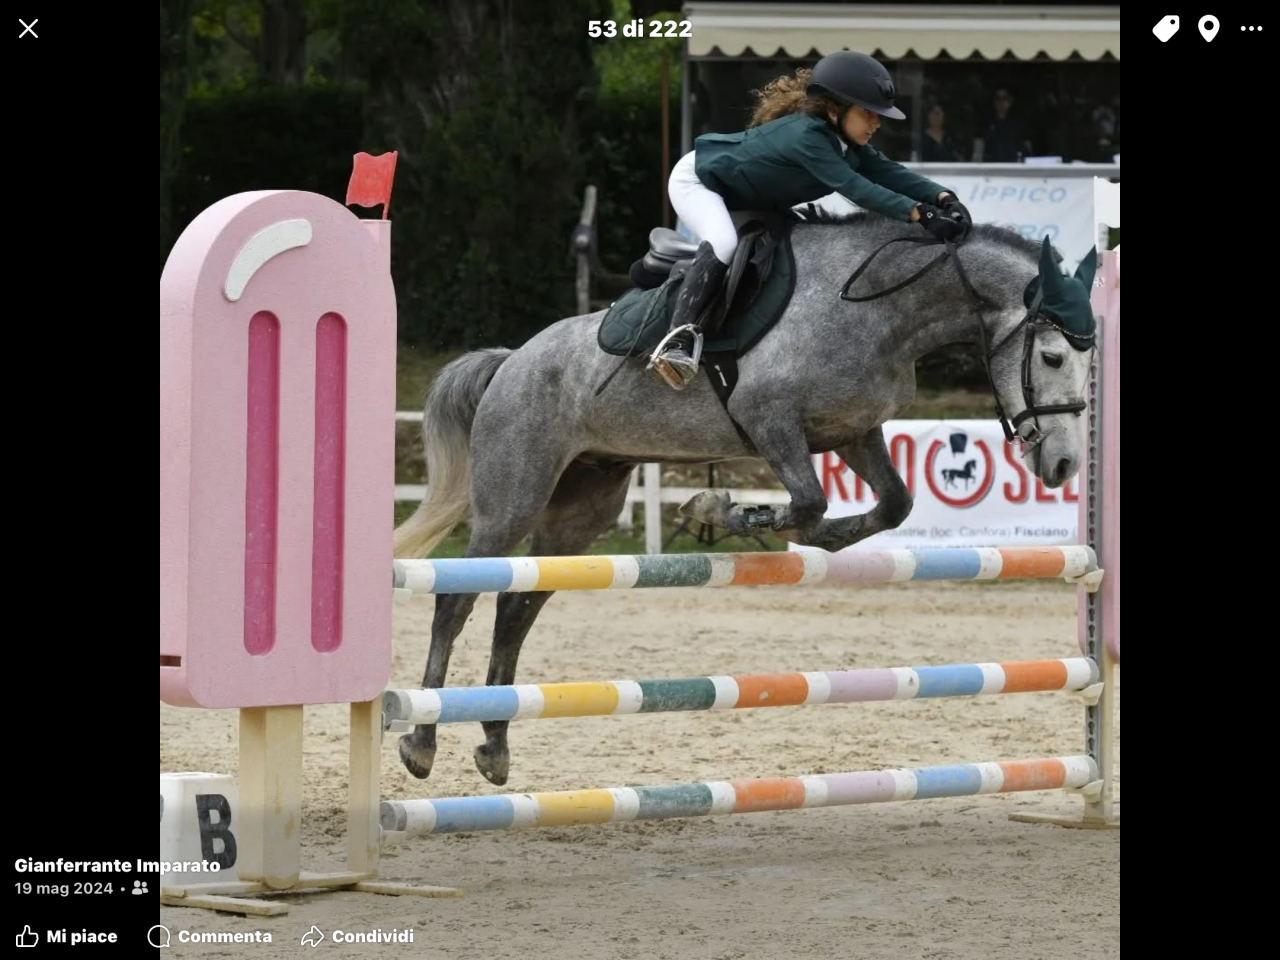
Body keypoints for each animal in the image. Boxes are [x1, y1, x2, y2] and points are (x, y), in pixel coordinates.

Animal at [392, 210, 1098, 784]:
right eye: (1054, 357)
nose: (1065, 463)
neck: (881, 310)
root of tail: (511, 360)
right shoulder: (770, 419)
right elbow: (808, 500)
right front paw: (724, 511)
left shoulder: (850, 431)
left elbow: (890, 505)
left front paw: (792, 531)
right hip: (512, 497)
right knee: (456, 600)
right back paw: (422, 743)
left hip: (583, 511)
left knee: (517, 607)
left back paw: (494, 745)